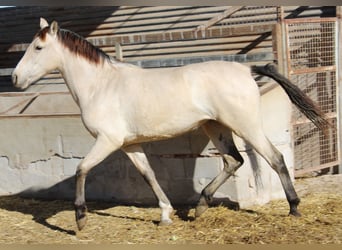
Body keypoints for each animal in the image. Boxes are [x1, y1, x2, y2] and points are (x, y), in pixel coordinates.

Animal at [11, 17, 328, 230]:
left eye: (38, 47)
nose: (15, 78)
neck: (102, 85)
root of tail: (246, 69)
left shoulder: (108, 140)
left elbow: (81, 169)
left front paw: (80, 218)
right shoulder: (129, 145)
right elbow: (149, 176)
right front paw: (166, 214)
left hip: (245, 125)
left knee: (275, 158)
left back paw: (294, 208)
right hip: (216, 127)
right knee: (233, 161)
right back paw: (200, 206)